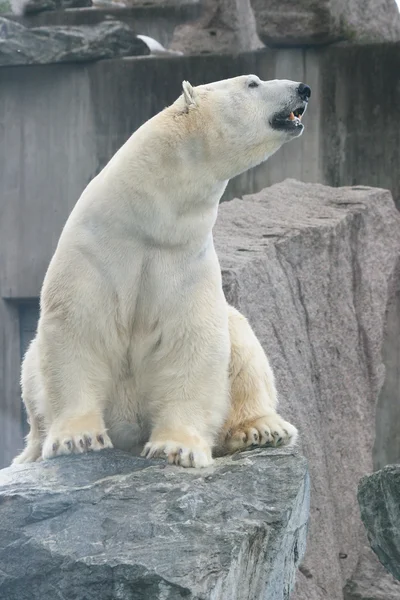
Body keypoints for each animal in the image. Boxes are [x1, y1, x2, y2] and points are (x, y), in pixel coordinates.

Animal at [13, 75, 310, 468]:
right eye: (253, 83)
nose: (304, 88)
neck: (148, 220)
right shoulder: (95, 250)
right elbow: (79, 327)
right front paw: (77, 439)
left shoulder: (185, 259)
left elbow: (193, 340)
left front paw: (176, 448)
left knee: (243, 343)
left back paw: (261, 429)